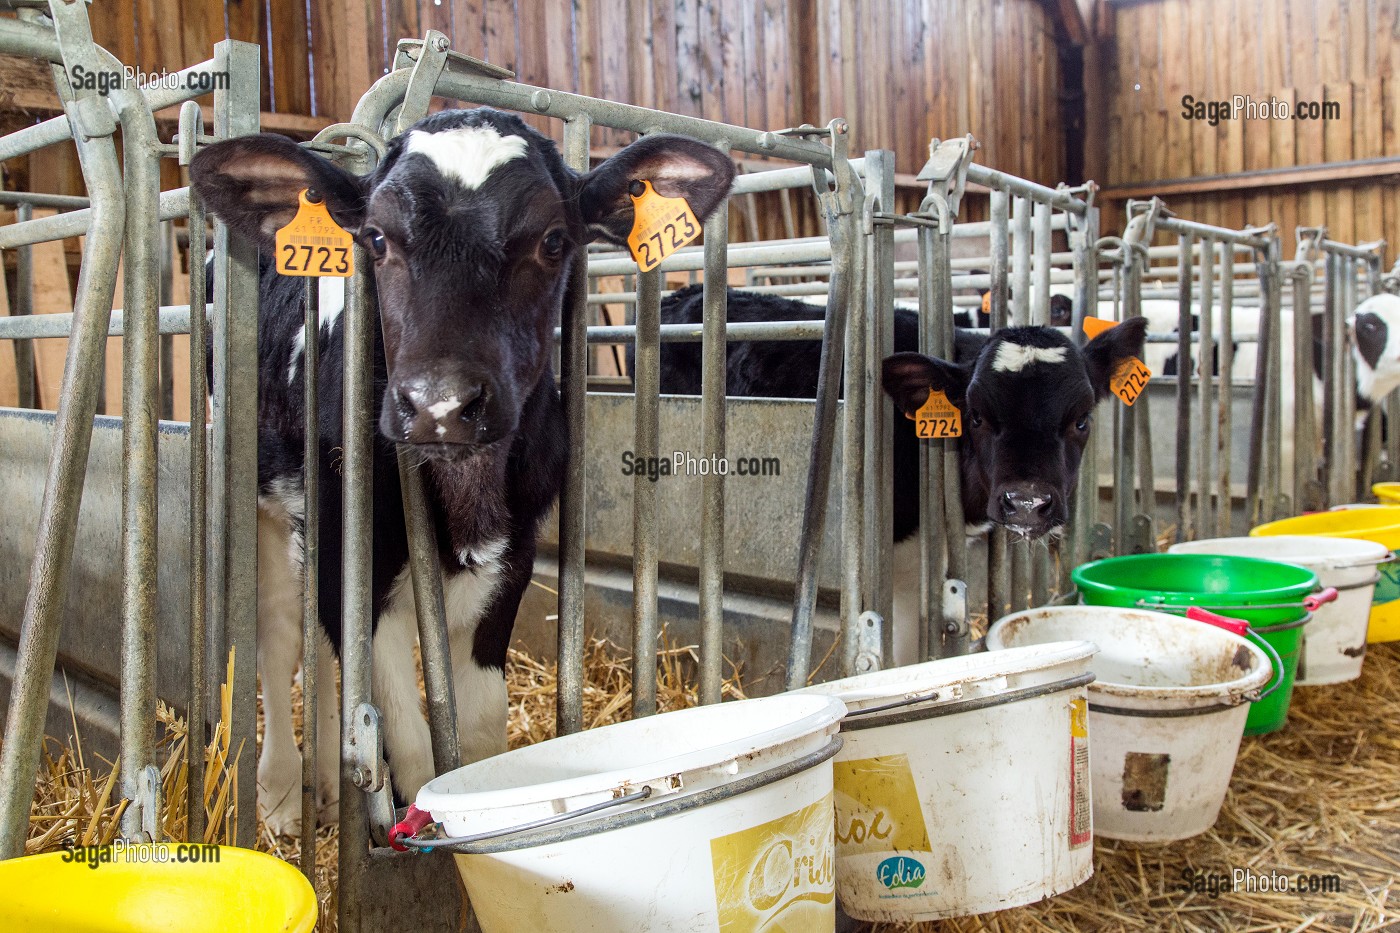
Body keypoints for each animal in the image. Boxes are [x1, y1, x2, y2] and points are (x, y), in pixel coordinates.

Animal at [193, 107, 739, 829]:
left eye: (554, 240)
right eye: (375, 238)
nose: (441, 404)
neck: (463, 503)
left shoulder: (512, 557)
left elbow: (477, 737)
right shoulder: (350, 550)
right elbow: (412, 746)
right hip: (263, 496)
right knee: (281, 635)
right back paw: (283, 795)